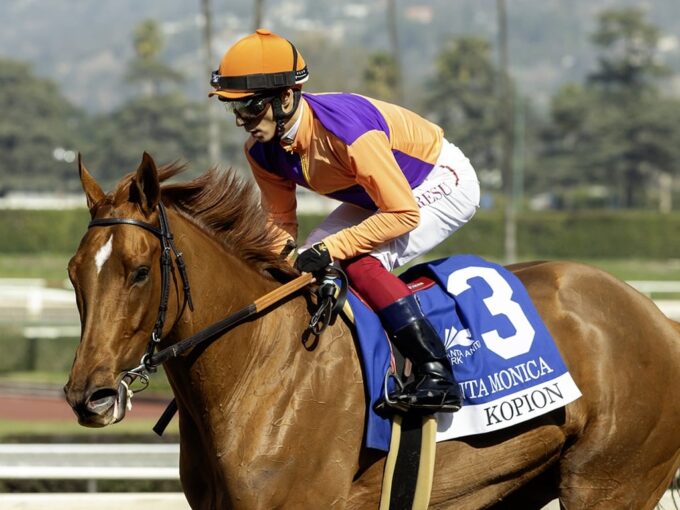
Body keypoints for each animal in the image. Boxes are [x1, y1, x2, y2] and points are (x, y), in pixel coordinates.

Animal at [65, 153, 680, 508]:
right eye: (75, 273)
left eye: (140, 271)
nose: (88, 395)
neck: (258, 368)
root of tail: (659, 318)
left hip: (610, 480)